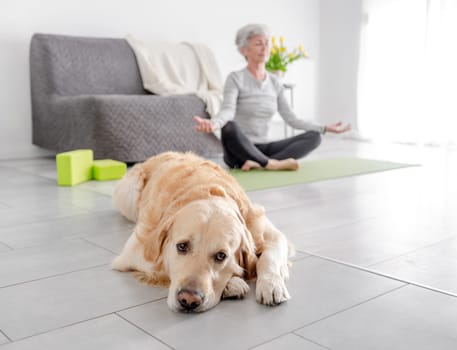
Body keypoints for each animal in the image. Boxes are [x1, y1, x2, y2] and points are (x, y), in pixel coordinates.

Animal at [113, 152, 292, 314]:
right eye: (181, 246)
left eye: (221, 256)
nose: (188, 300)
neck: (208, 193)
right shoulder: (136, 251)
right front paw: (233, 283)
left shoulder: (267, 232)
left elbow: (270, 256)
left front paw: (271, 285)